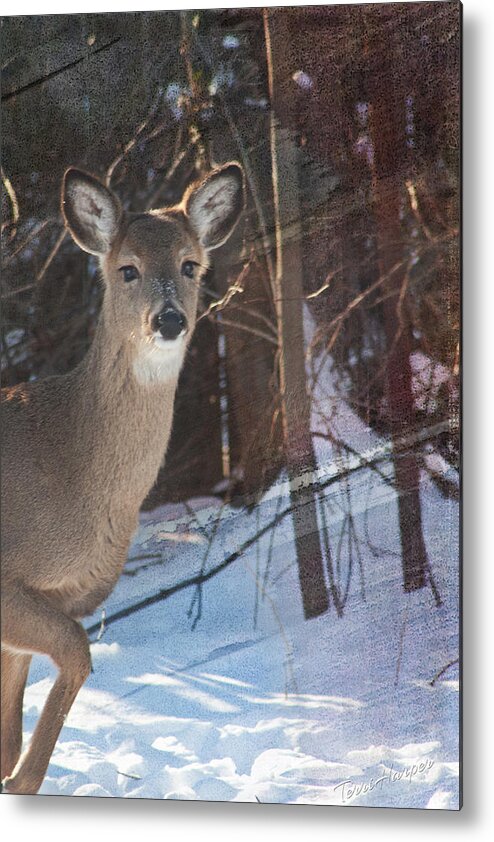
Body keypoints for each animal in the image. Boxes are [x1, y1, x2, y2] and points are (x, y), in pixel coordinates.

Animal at [0, 159, 244, 796]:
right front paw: (26, 781)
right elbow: (77, 651)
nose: (169, 319)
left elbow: (7, 741)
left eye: (190, 264)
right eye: (127, 269)